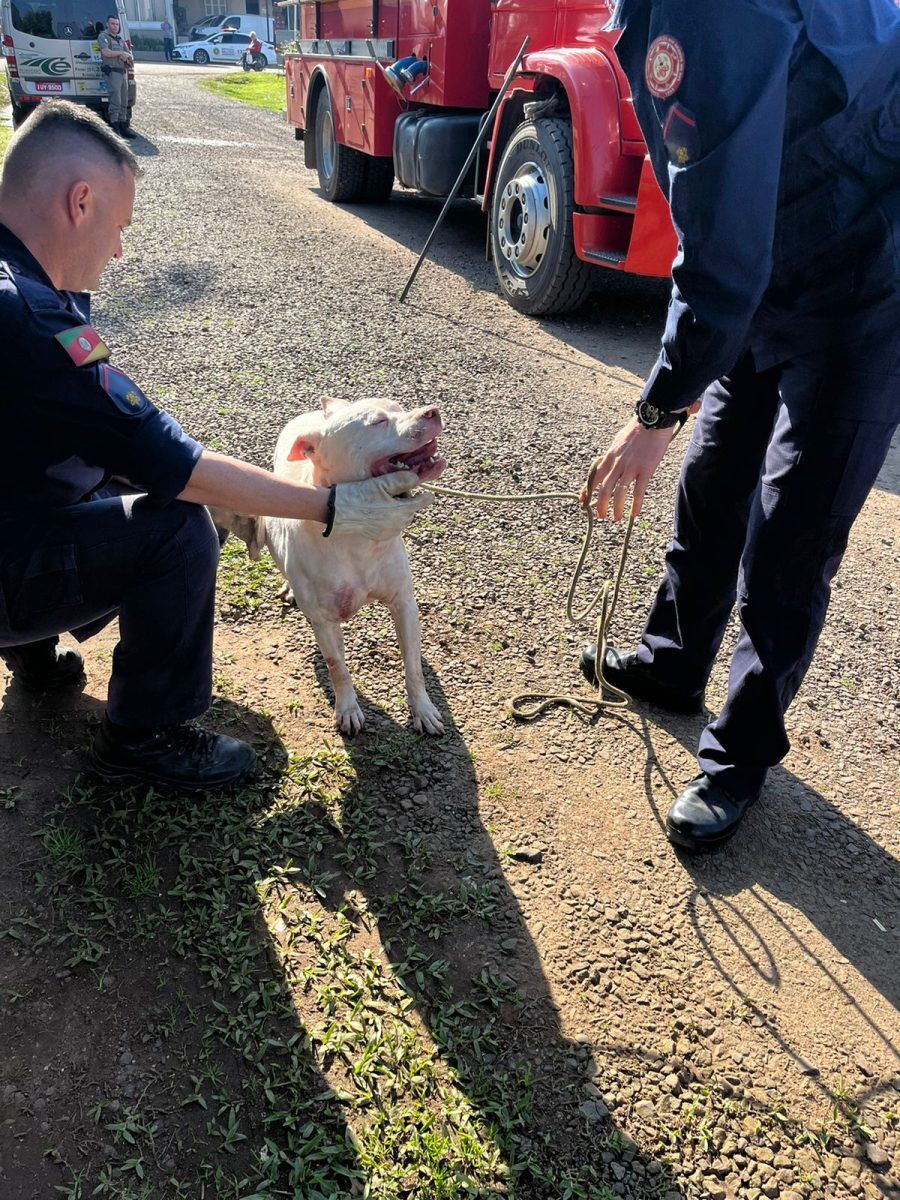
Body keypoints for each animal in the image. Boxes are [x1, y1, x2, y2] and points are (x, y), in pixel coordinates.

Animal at [222, 396, 448, 729]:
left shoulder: (404, 603)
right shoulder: (324, 621)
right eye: (378, 422)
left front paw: (422, 709)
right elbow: (337, 667)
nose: (432, 411)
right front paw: (348, 709)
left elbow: (413, 665)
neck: (356, 538)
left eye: (399, 406)